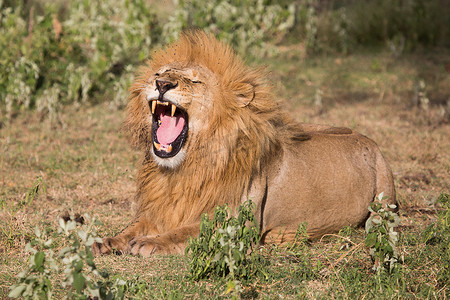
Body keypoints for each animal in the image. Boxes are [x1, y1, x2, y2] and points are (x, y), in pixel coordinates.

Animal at [91, 30, 394, 256]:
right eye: (159, 73)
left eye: (194, 81)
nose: (163, 84)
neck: (187, 166)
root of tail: (368, 139)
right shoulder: (164, 207)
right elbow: (136, 225)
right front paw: (108, 241)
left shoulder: (237, 224)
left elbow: (186, 231)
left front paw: (150, 242)